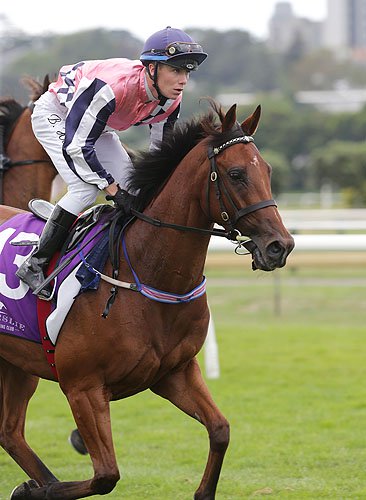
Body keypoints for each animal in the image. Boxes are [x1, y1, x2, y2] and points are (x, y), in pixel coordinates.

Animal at [0, 99, 294, 498]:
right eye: (235, 174)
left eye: (267, 170)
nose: (280, 246)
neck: (145, 270)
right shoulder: (82, 387)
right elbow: (106, 474)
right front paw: (35, 490)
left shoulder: (175, 372)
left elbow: (220, 430)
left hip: (16, 363)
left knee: (10, 431)